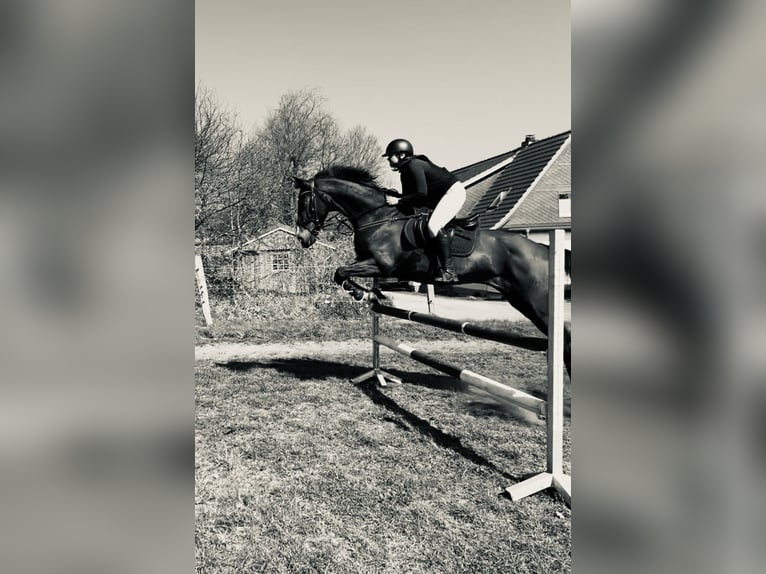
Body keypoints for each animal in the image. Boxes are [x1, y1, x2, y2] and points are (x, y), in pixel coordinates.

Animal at [293, 166, 571, 376]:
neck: (378, 217)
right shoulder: (370, 263)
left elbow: (340, 271)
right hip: (520, 299)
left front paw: (365, 294)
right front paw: (374, 295)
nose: (302, 238)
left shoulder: (382, 264)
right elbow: (342, 272)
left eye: (305, 202)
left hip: (538, 302)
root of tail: (544, 248)